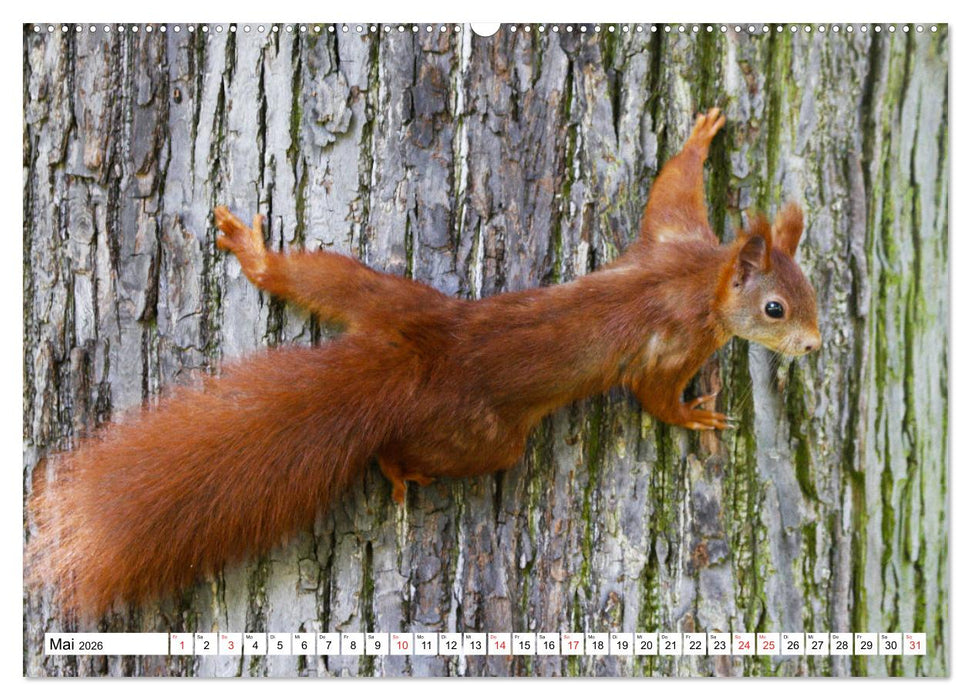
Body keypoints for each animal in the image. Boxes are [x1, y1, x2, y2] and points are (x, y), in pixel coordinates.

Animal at [27, 108, 820, 618]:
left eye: (813, 292)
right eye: (776, 309)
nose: (814, 346)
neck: (701, 279)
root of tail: (413, 362)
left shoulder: (674, 236)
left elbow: (668, 189)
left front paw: (697, 136)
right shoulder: (673, 337)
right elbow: (653, 395)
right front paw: (693, 415)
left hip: (382, 297)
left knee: (315, 278)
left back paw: (260, 258)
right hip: (480, 436)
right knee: (435, 451)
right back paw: (397, 467)